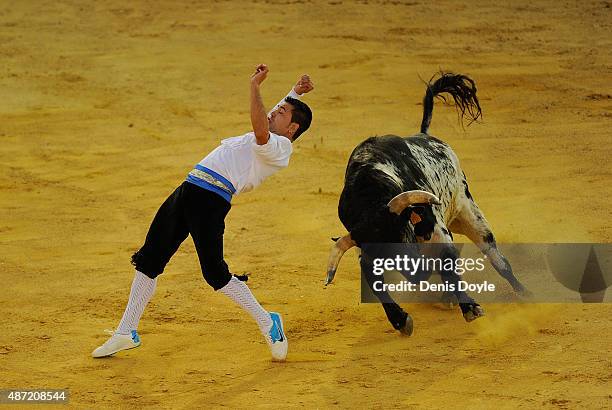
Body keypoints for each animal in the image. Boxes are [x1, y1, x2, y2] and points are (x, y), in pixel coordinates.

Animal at [326, 73, 532, 336]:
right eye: (385, 253)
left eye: (403, 234)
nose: (419, 274)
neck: (370, 196)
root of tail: (424, 134)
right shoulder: (366, 249)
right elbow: (376, 284)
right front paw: (400, 320)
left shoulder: (437, 231)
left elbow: (448, 264)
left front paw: (471, 308)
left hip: (470, 214)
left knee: (498, 259)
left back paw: (524, 293)